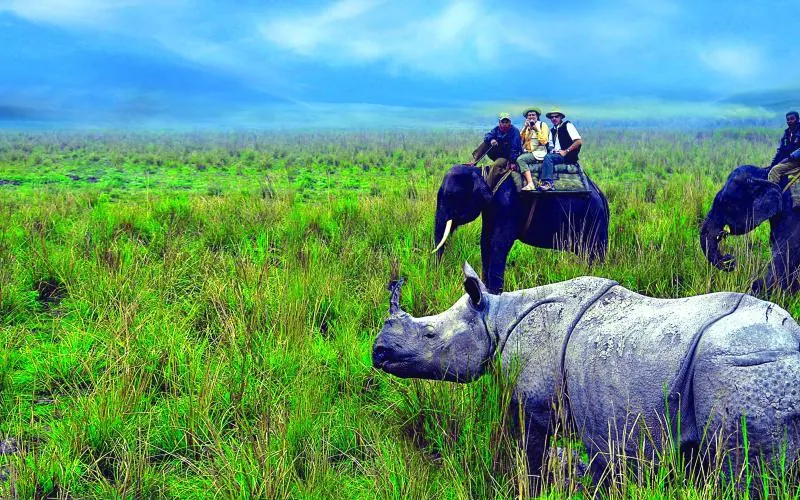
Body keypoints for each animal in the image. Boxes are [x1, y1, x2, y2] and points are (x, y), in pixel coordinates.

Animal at [372, 263, 800, 484]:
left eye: (429, 334)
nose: (378, 352)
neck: (495, 317)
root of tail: (791, 336)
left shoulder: (535, 405)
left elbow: (531, 455)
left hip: (737, 363)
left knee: (742, 470)